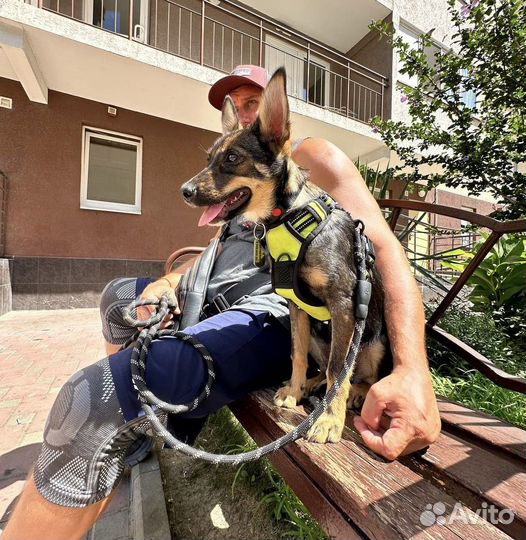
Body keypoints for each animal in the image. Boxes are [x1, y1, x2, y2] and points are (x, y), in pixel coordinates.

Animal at [182, 67, 392, 446]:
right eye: (209, 160)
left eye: (232, 158)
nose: (184, 191)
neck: (288, 216)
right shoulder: (295, 306)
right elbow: (296, 354)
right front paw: (294, 391)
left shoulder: (343, 305)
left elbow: (340, 369)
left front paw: (330, 420)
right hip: (322, 340)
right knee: (322, 366)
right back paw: (311, 384)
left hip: (374, 341)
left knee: (359, 375)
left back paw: (356, 392)